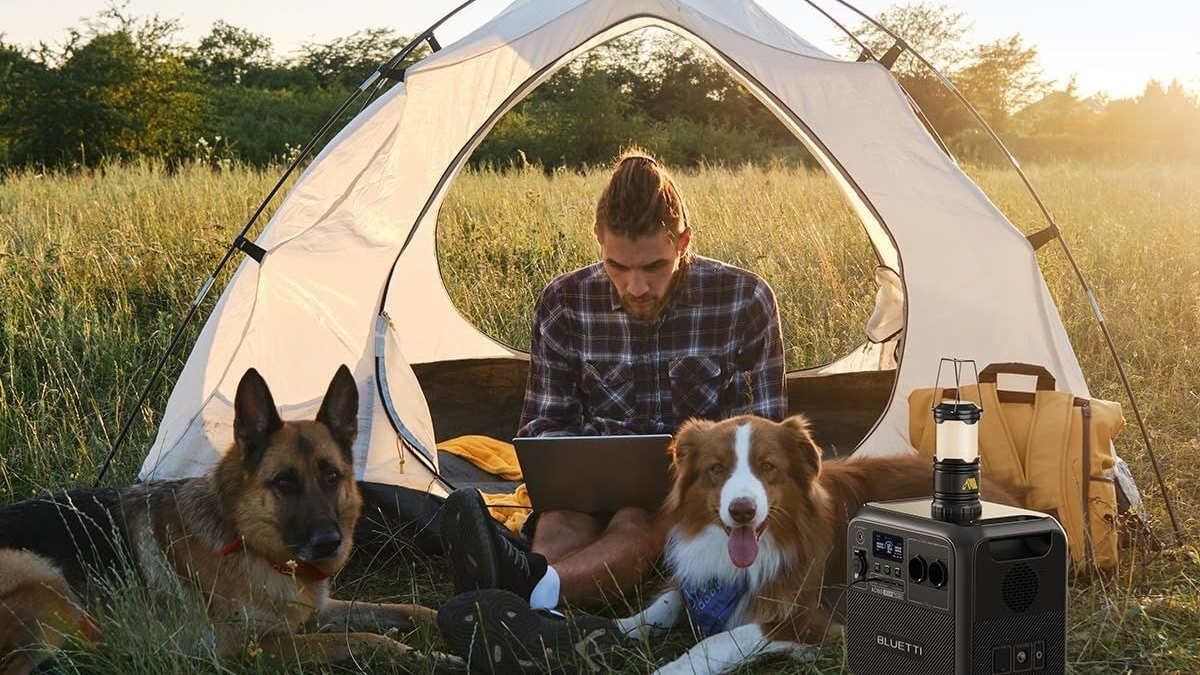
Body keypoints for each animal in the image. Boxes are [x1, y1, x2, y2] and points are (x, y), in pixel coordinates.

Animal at [0, 365, 446, 667]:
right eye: (283, 482)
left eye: (331, 476)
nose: (328, 543)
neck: (245, 539)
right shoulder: (252, 649)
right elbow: (362, 639)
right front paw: (424, 657)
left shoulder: (316, 611)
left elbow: (405, 610)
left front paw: (447, 626)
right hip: (45, 582)